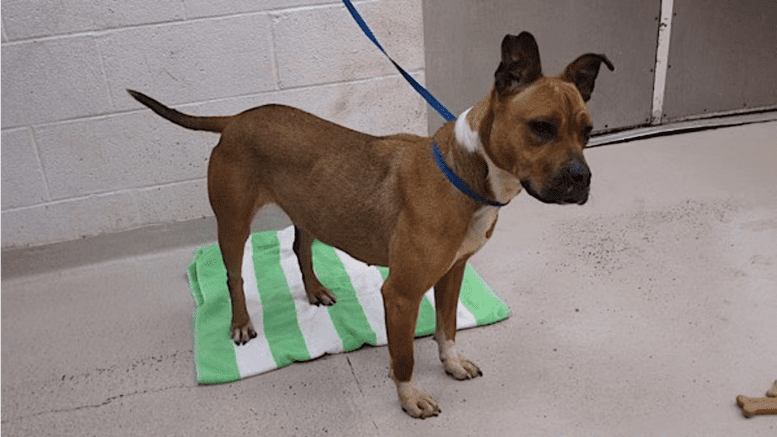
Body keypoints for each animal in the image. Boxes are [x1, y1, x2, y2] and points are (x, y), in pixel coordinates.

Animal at [127, 32, 612, 418]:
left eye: (587, 131)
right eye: (541, 127)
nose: (582, 178)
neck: (466, 173)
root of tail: (236, 119)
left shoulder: (453, 272)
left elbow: (447, 328)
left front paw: (452, 363)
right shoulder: (401, 293)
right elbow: (405, 356)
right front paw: (410, 398)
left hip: (312, 209)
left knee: (301, 247)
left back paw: (315, 290)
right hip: (232, 223)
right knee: (233, 275)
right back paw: (242, 323)